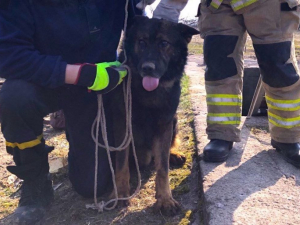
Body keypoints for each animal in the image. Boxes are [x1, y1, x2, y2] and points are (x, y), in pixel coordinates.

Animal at [108, 16, 199, 215]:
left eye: (164, 43)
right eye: (141, 42)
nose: (148, 68)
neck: (148, 92)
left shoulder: (165, 123)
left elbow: (162, 168)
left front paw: (165, 199)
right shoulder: (122, 125)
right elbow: (121, 164)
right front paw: (121, 192)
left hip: (174, 120)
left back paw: (174, 154)